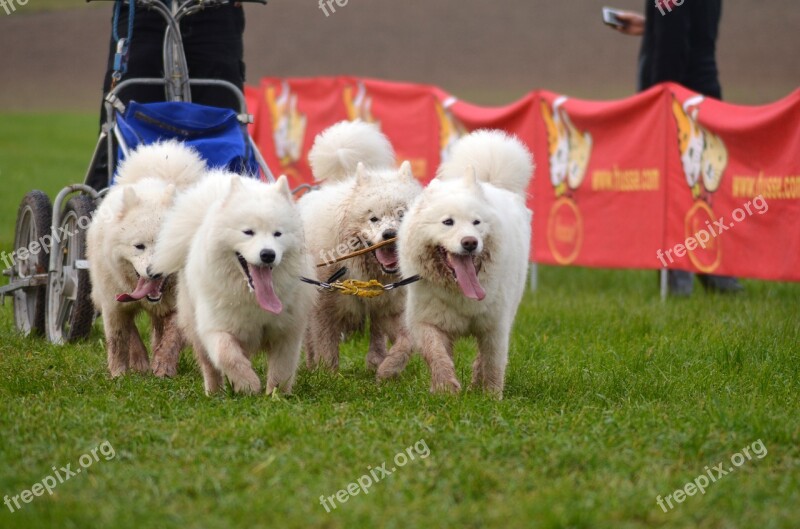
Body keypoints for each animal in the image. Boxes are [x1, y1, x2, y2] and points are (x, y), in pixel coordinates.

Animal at [87, 140, 206, 378]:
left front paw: (163, 367)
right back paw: (139, 362)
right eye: (139, 246)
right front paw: (119, 374)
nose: (154, 272)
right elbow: (118, 339)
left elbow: (171, 339)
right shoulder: (113, 305)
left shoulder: (179, 307)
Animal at [150, 171, 316, 394]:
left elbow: (282, 370)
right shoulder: (215, 327)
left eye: (278, 234)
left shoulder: (287, 332)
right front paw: (248, 384)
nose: (268, 254)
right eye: (248, 232)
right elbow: (227, 355)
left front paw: (276, 395)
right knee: (209, 366)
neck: (253, 298)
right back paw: (214, 393)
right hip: (194, 327)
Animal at [298, 121, 422, 374]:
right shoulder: (324, 307)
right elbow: (325, 345)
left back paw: (376, 360)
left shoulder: (392, 306)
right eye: (373, 218)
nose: (390, 234)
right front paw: (328, 374)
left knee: (376, 333)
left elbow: (407, 342)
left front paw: (389, 368)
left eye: (401, 215)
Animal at [378, 130, 536, 398]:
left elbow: (492, 364)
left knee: (481, 361)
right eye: (448, 222)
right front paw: (445, 389)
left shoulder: (494, 326)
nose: (470, 242)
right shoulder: (427, 321)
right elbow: (437, 355)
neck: (460, 292)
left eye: (476, 222)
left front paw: (492, 397)